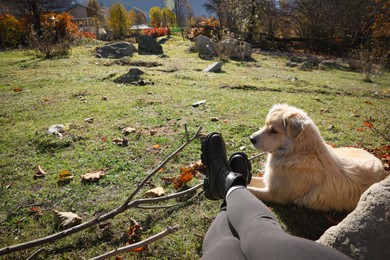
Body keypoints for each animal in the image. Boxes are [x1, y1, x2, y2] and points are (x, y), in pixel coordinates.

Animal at [248, 103, 386, 211]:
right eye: (265, 124)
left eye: (274, 131)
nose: (251, 139)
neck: (298, 152)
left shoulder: (274, 194)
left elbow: (251, 190)